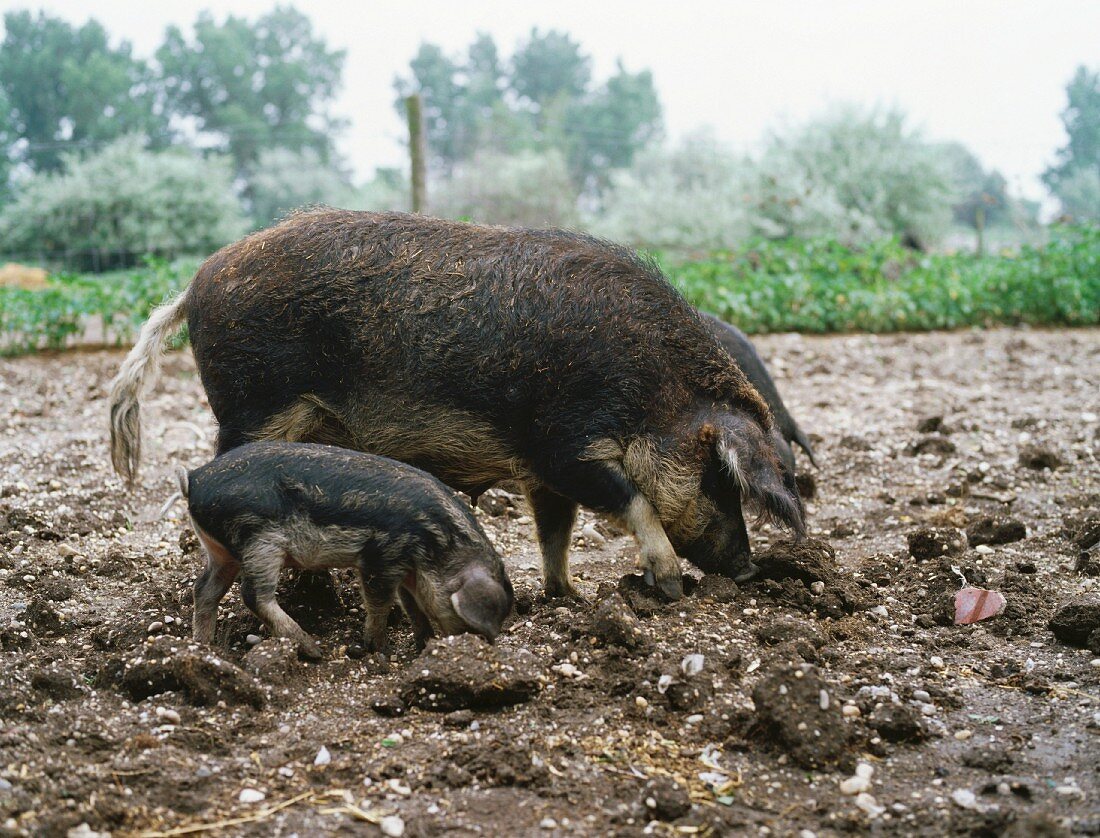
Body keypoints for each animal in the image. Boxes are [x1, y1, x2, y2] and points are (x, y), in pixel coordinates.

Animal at [109, 212, 800, 598]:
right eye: (720, 478)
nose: (747, 570)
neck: (652, 395)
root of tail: (195, 286)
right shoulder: (564, 444)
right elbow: (631, 500)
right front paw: (668, 586)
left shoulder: (542, 471)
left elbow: (556, 532)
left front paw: (568, 598)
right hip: (252, 405)